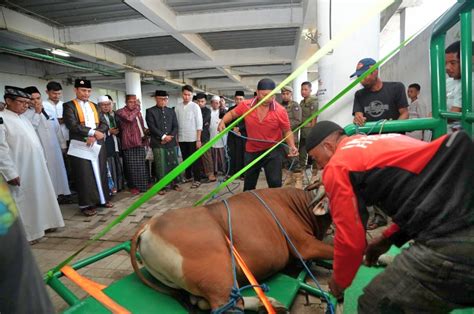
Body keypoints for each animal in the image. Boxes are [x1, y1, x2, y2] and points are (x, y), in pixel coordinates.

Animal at [130, 188, 334, 312]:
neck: (300, 206)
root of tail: (149, 225)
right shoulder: (304, 245)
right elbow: (332, 250)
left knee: (203, 302)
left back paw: (269, 303)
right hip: (218, 274)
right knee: (227, 305)